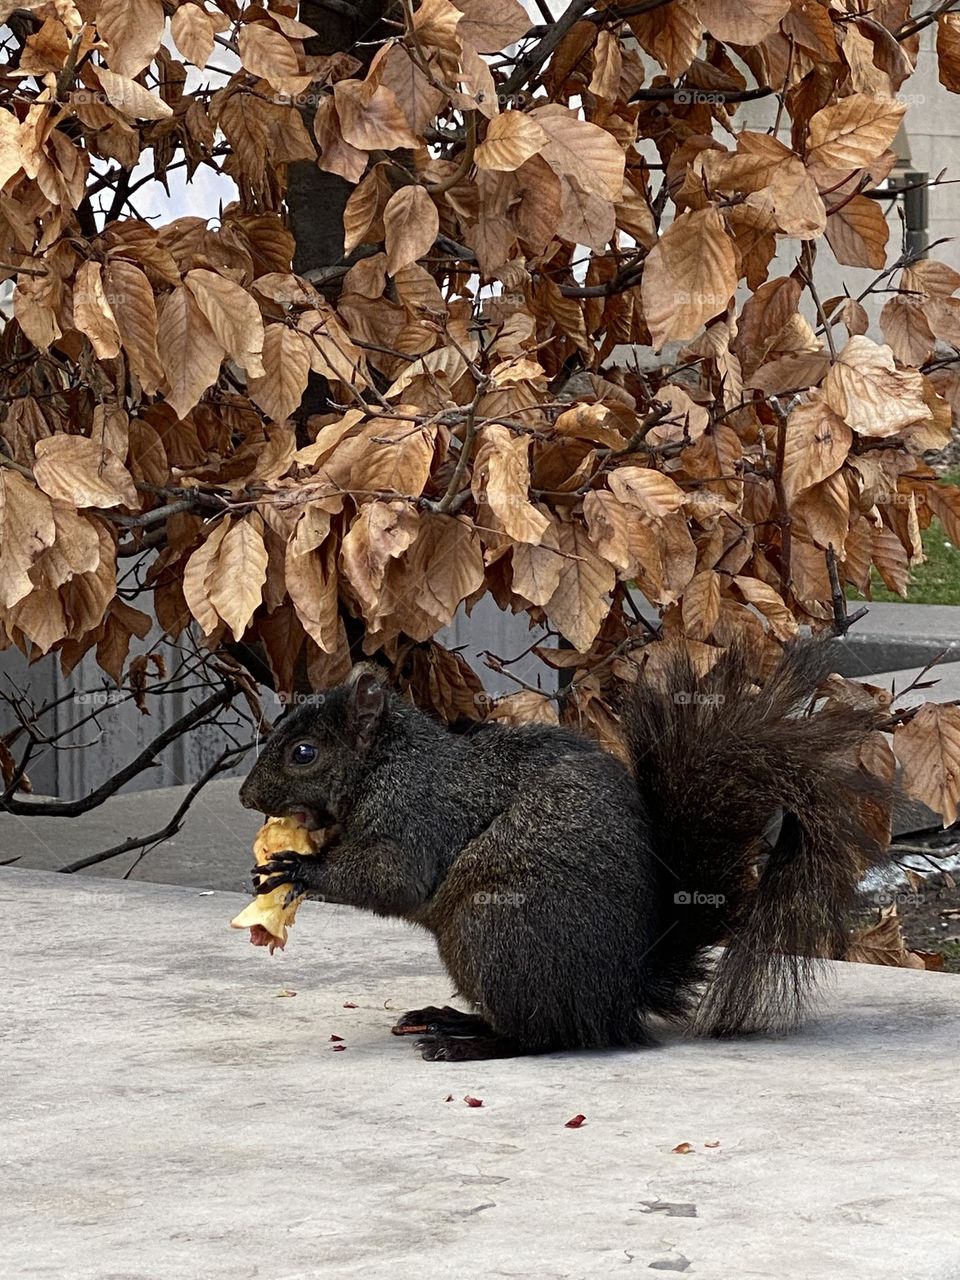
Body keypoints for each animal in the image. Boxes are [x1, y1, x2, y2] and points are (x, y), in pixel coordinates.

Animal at [238, 642, 891, 1062]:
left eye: (303, 752)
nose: (246, 797)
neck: (385, 763)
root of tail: (617, 997)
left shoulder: (415, 815)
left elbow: (389, 879)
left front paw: (299, 867)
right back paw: (454, 1018)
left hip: (493, 933)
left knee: (545, 1037)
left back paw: (466, 1043)